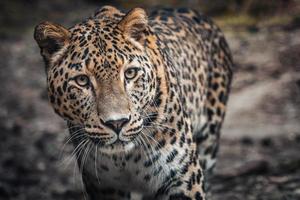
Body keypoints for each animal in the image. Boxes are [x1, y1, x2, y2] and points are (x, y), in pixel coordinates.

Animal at [34, 5, 233, 200]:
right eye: (82, 81)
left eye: (130, 73)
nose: (117, 123)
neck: (124, 158)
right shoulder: (104, 187)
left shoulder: (182, 179)